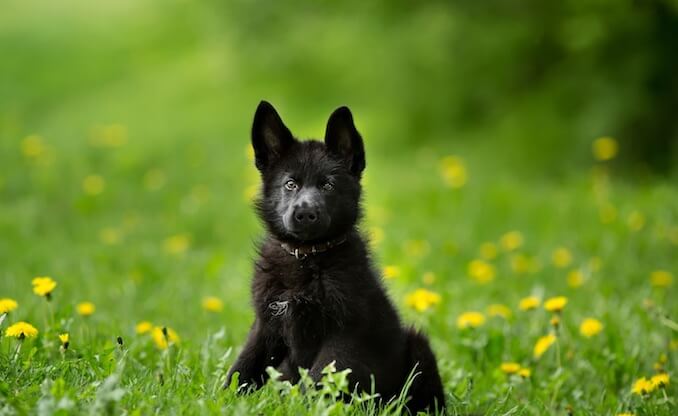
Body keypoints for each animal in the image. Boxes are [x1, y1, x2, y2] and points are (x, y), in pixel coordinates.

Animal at [228, 101, 446, 412]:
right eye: (290, 184)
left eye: (328, 185)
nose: (305, 213)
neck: (307, 257)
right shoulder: (266, 324)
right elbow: (242, 368)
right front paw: (220, 400)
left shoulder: (344, 332)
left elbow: (319, 379)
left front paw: (305, 408)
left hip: (418, 348)